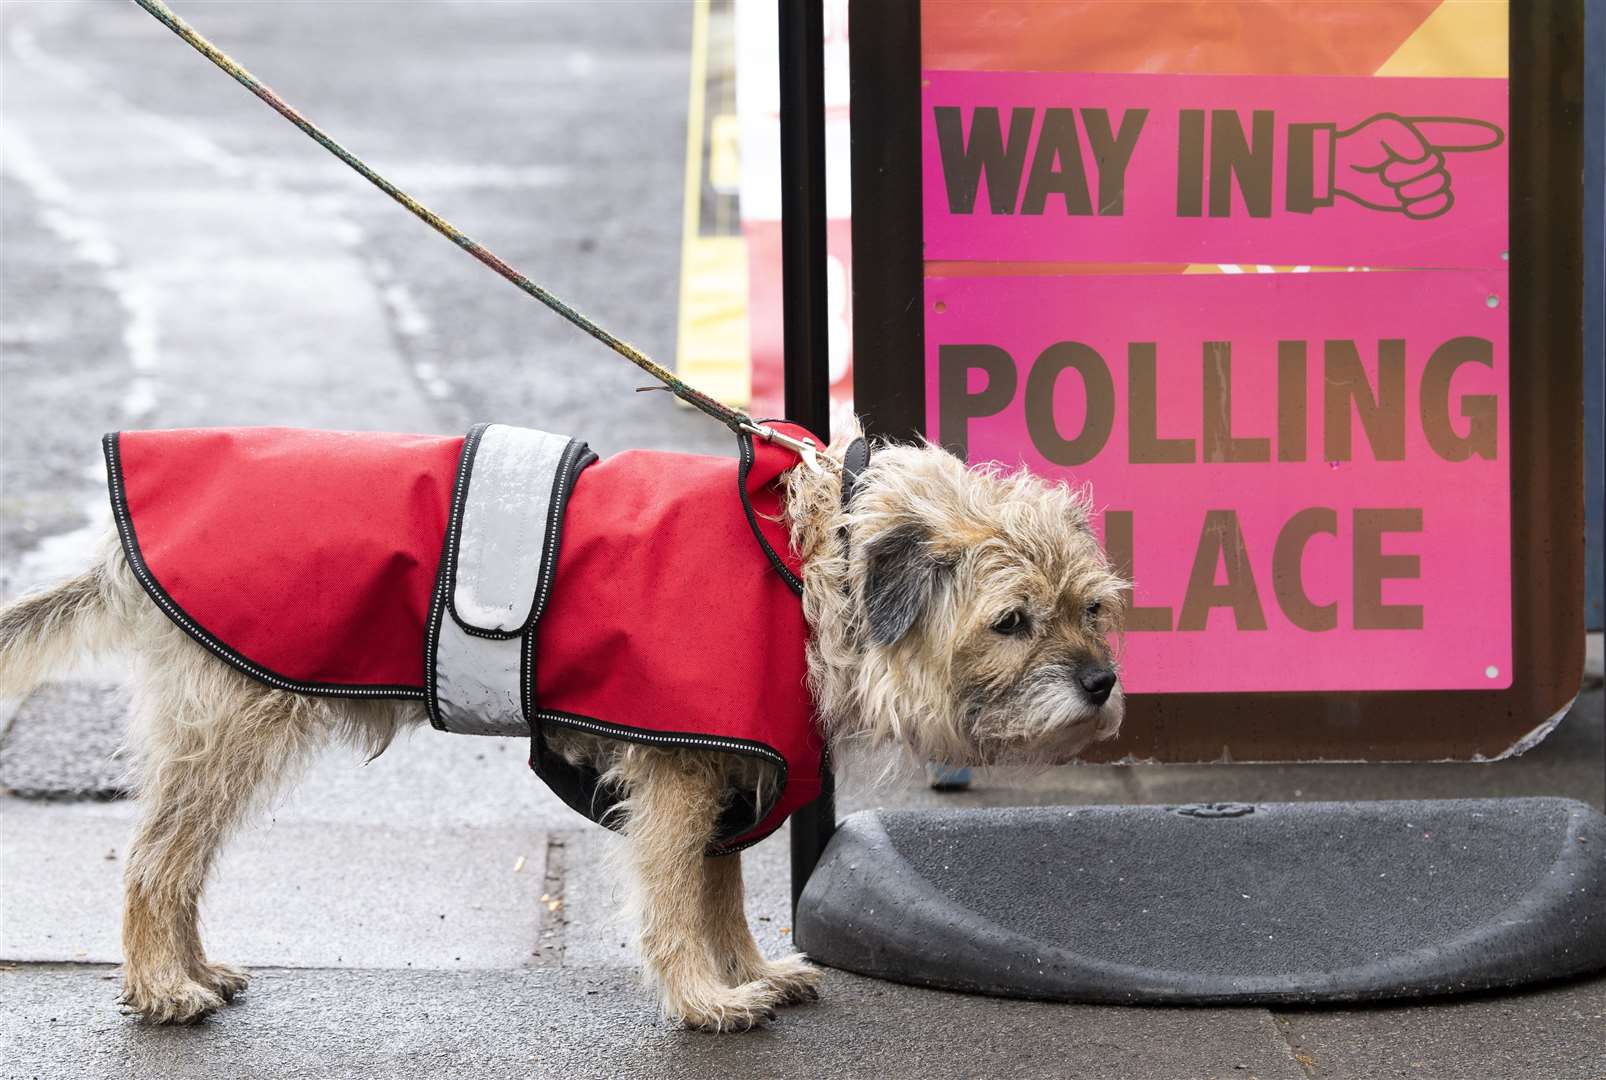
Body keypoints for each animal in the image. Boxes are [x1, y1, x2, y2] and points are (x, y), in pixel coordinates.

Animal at [0, 421, 1130, 1028]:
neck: (810, 562)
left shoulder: (726, 779)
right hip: (228, 735)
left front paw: (750, 973)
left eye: (1091, 606)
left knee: (175, 861)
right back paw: (162, 985)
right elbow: (675, 900)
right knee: (156, 862)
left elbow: (723, 896)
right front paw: (704, 1001)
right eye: (1011, 621)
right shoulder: (679, 780)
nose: (1103, 683)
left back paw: (188, 970)